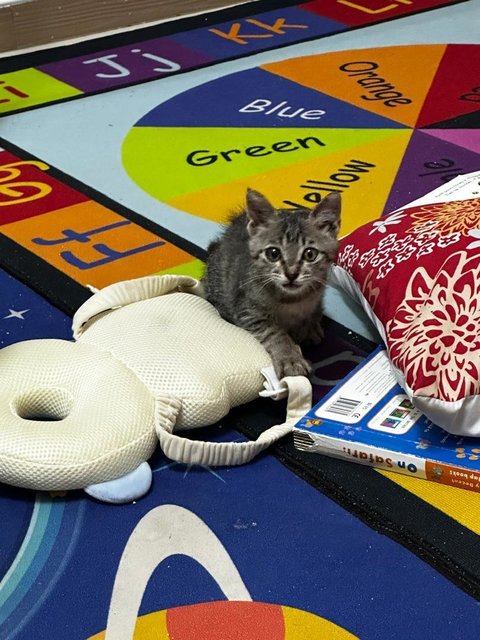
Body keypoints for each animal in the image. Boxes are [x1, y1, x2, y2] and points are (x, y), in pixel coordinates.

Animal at [202, 190, 342, 380]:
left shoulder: (316, 294)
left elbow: (313, 311)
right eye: (273, 253)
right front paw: (290, 359)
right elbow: (274, 333)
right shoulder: (248, 311)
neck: (293, 301)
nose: (291, 274)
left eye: (310, 254)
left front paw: (310, 327)